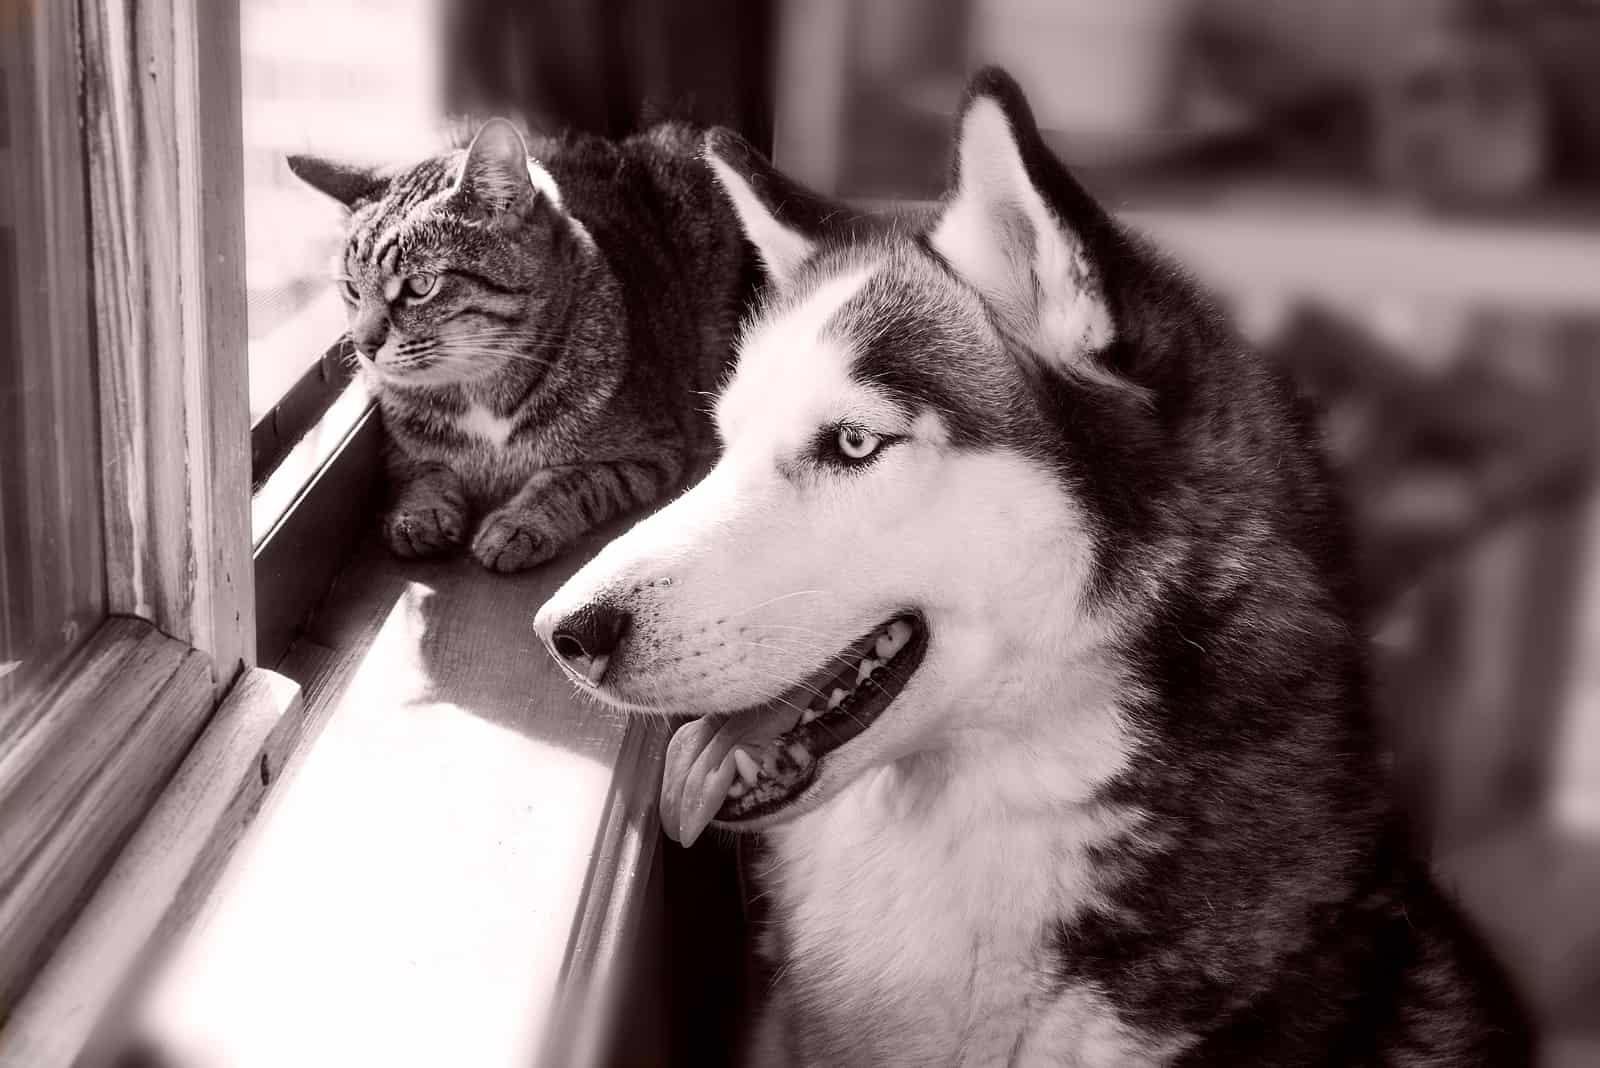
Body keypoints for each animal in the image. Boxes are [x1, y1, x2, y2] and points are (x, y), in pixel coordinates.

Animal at [289, 119, 755, 572]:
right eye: (352, 289)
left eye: (420, 285)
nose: (364, 344)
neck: (478, 386)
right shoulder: (401, 446)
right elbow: (420, 472)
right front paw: (418, 514)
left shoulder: (648, 450)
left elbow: (573, 481)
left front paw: (518, 523)